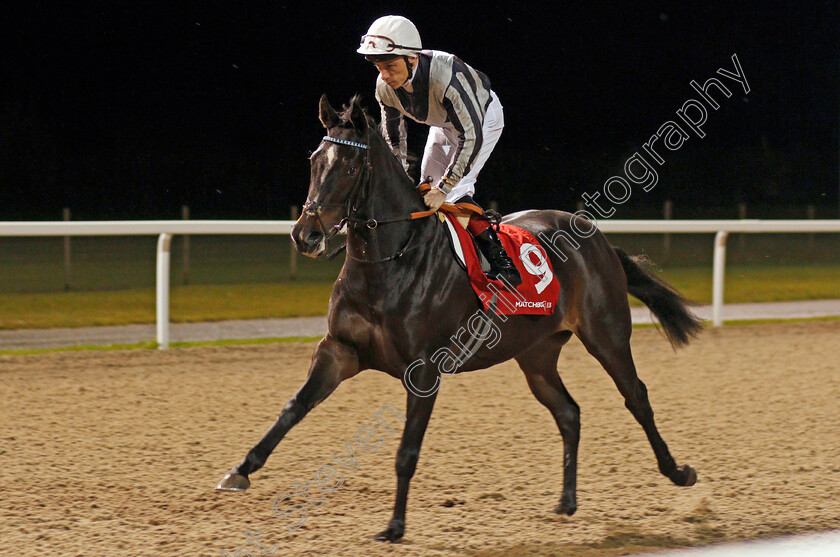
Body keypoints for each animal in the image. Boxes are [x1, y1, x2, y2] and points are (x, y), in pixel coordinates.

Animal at [217, 94, 704, 540]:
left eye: (351, 169)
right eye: (315, 161)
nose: (307, 235)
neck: (388, 262)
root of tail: (596, 236)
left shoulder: (424, 371)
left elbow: (407, 450)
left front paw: (394, 525)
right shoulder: (339, 350)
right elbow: (293, 408)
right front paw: (240, 469)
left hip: (606, 333)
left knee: (636, 397)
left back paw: (677, 471)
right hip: (536, 353)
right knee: (568, 411)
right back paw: (567, 501)